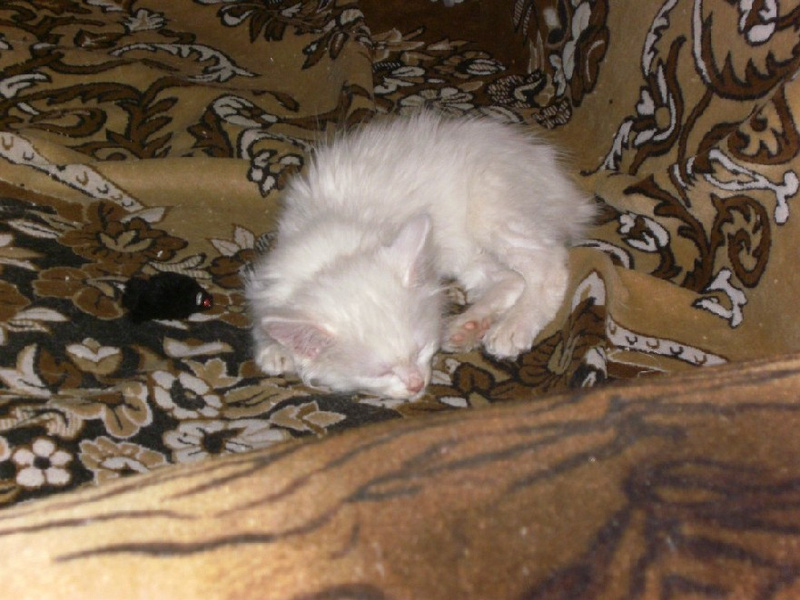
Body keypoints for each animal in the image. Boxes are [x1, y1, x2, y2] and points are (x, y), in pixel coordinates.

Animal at [245, 110, 595, 399]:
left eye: (421, 350)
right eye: (381, 372)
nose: (416, 385)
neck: (336, 253)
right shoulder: (275, 276)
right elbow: (267, 315)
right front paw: (275, 347)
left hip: (493, 206)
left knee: (548, 265)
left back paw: (513, 326)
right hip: (462, 246)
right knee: (510, 278)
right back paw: (468, 326)